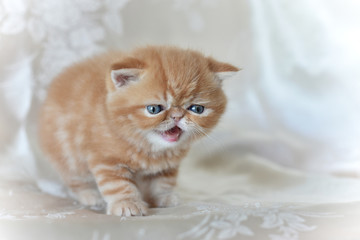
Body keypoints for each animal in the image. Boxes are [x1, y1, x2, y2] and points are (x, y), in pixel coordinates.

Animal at [38, 46, 239, 217]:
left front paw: (164, 197)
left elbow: (163, 182)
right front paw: (127, 204)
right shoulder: (106, 160)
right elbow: (117, 184)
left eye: (197, 109)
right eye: (154, 109)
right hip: (68, 155)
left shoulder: (167, 165)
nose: (177, 116)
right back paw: (90, 196)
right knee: (75, 180)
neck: (150, 148)